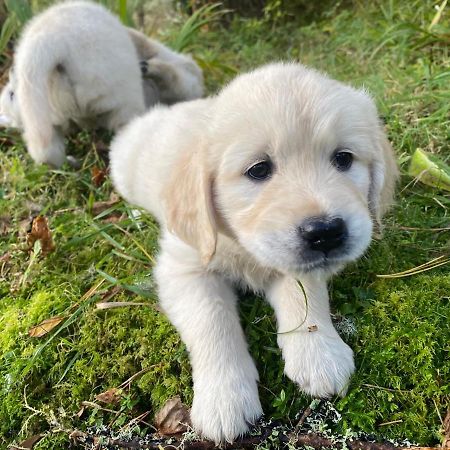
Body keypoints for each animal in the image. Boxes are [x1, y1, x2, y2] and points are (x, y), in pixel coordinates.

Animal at [109, 62, 398, 442]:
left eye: (344, 159)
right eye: (258, 170)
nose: (325, 233)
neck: (242, 243)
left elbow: (304, 295)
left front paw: (319, 353)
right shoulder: (185, 268)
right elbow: (212, 321)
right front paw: (224, 397)